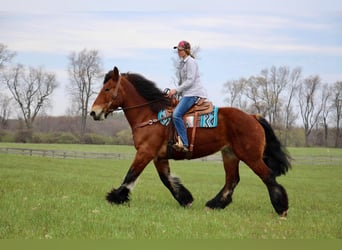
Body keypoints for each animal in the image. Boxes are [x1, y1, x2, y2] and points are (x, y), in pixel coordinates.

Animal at [89, 66, 290, 217]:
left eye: (107, 89)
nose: (93, 112)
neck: (150, 114)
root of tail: (252, 117)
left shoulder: (145, 152)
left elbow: (131, 175)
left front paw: (115, 197)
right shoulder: (158, 157)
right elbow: (167, 179)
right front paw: (185, 199)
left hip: (251, 156)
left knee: (268, 176)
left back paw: (282, 208)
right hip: (230, 154)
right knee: (232, 180)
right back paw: (215, 204)